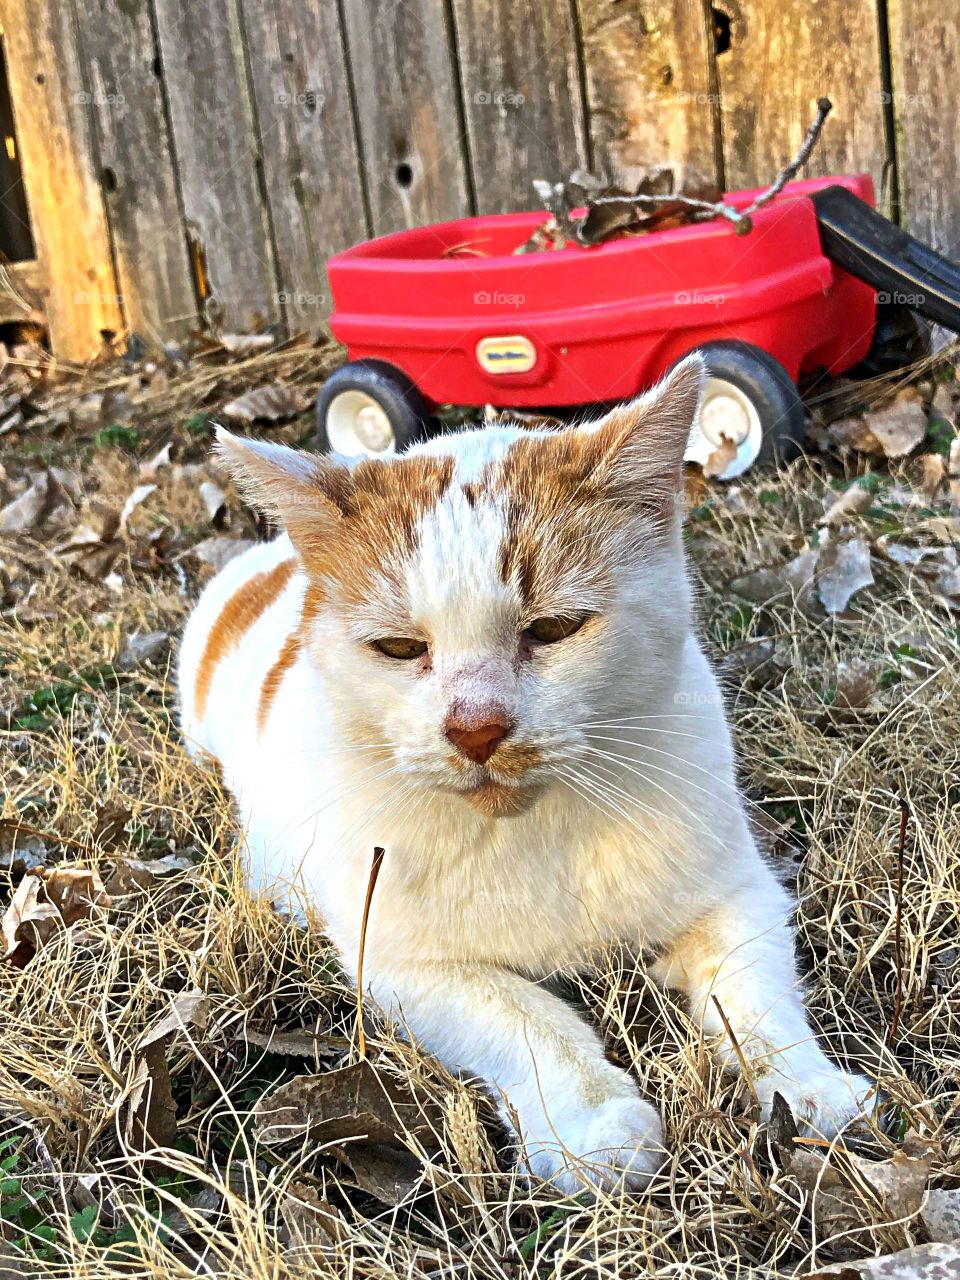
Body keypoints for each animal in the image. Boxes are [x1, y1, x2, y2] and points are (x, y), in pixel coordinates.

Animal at [176, 358, 875, 1187]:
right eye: (399, 648)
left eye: (554, 628)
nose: (475, 728)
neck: (538, 834)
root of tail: (271, 562)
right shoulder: (402, 963)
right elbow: (523, 1015)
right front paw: (597, 1124)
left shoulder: (739, 893)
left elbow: (756, 993)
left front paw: (808, 1087)